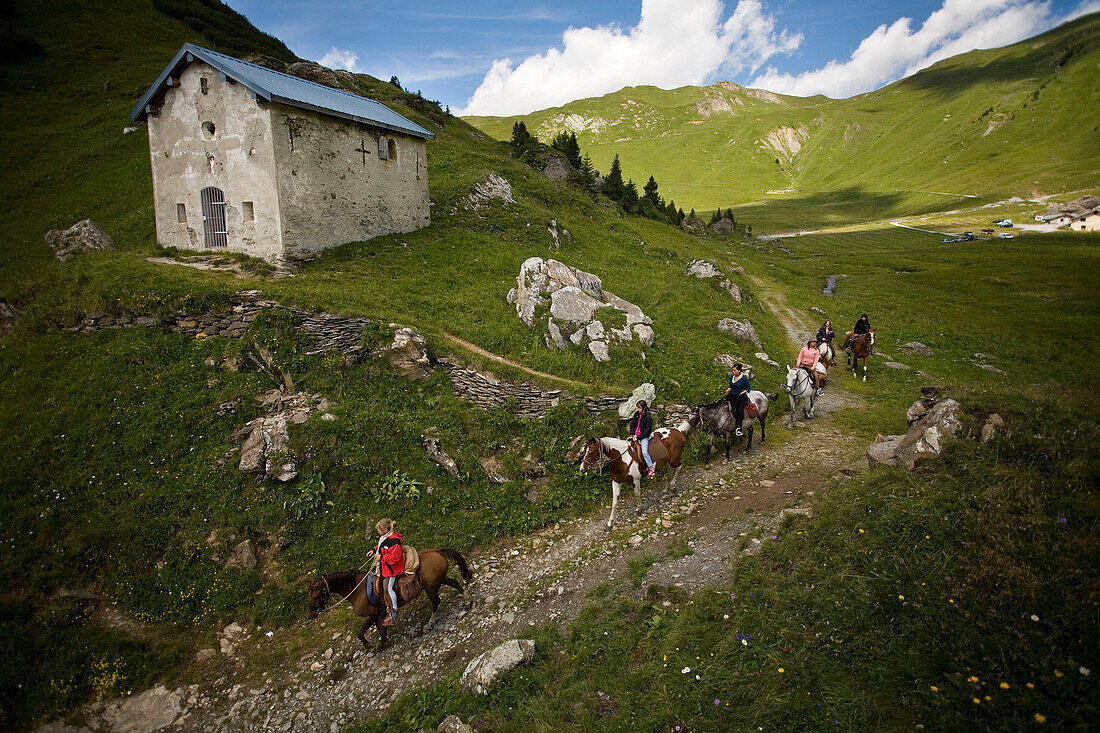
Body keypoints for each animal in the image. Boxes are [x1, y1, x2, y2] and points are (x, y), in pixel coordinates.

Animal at [303, 545, 470, 647]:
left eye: (315, 596)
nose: (310, 615)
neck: (358, 589)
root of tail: (437, 551)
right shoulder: (377, 614)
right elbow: (373, 630)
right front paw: (376, 643)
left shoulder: (372, 614)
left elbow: (365, 632)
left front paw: (375, 645)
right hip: (438, 581)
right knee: (455, 583)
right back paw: (468, 601)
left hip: (431, 587)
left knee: (436, 602)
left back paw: (429, 625)